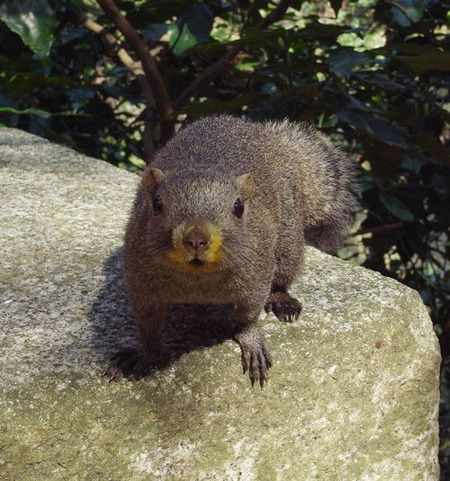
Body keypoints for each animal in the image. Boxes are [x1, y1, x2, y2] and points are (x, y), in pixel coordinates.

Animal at [105, 115, 356, 386]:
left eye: (238, 207)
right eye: (157, 204)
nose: (196, 238)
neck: (197, 278)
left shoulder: (255, 278)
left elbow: (248, 316)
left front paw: (252, 343)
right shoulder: (142, 283)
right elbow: (147, 325)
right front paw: (143, 354)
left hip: (288, 238)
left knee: (282, 275)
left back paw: (282, 300)